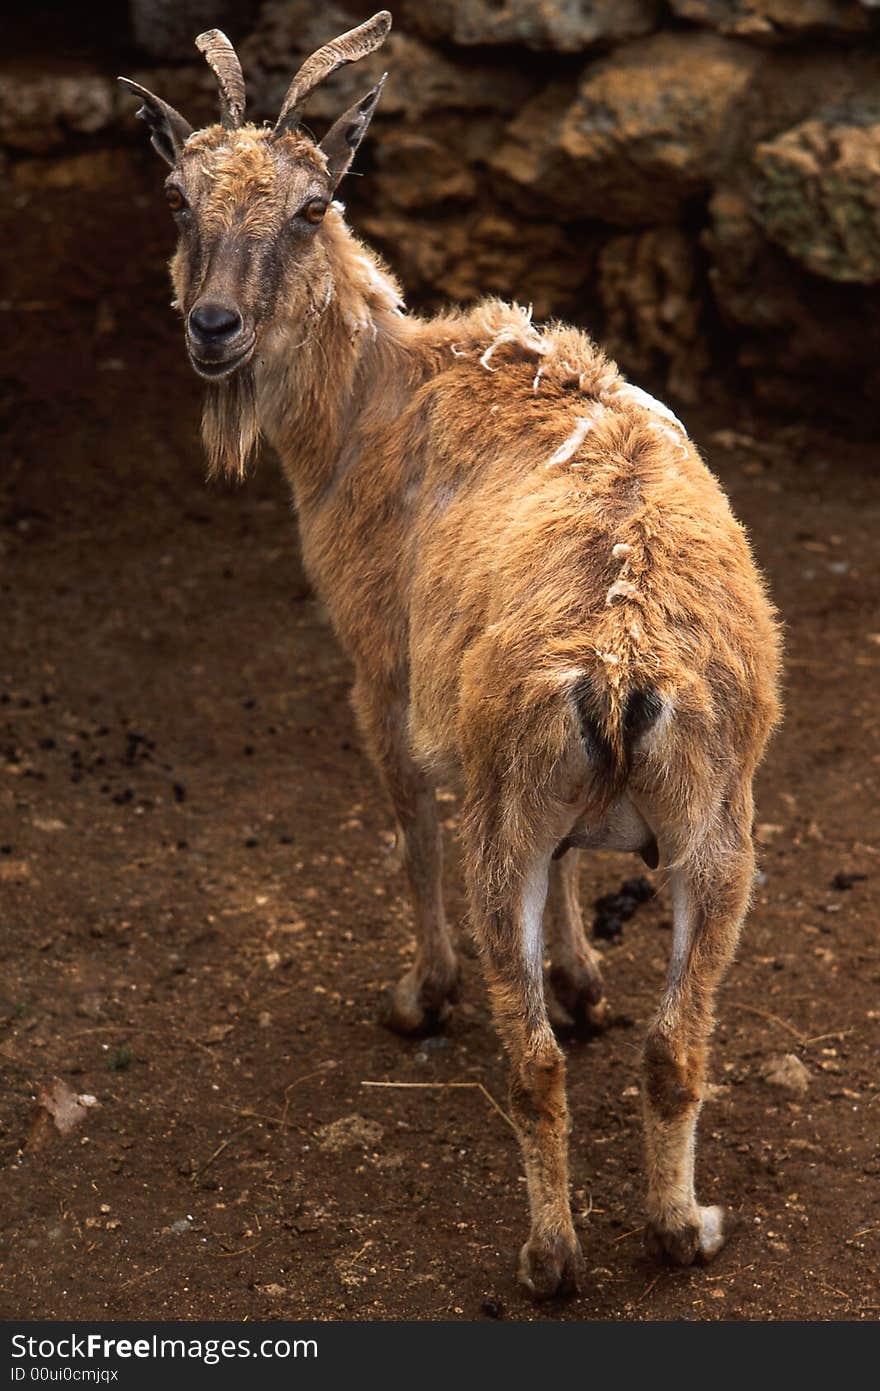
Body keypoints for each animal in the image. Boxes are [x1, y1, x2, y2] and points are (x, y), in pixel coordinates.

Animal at [120, 10, 778, 1296]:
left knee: (528, 1057)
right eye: (177, 197)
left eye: (313, 204)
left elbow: (403, 818)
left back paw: (550, 1252)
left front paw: (416, 996)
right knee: (675, 1049)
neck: (372, 399)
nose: (213, 328)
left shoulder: (379, 663)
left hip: (506, 820)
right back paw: (686, 1224)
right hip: (715, 829)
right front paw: (582, 983)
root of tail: (622, 674)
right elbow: (578, 882)